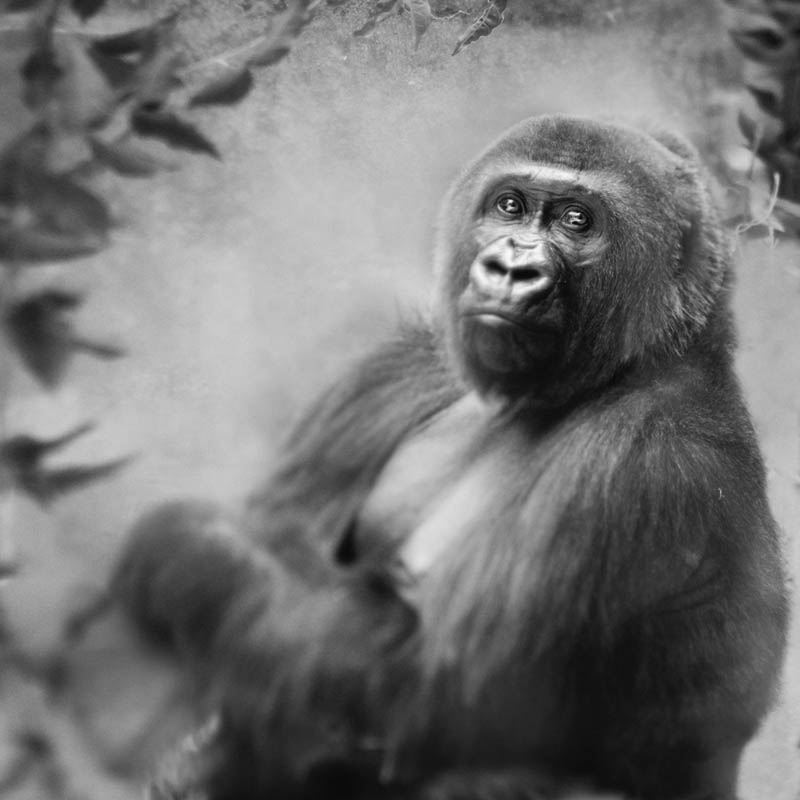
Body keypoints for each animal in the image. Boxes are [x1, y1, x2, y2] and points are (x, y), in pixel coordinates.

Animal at [113, 115, 789, 800]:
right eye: (510, 206)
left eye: (577, 220)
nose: (511, 268)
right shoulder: (408, 364)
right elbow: (281, 526)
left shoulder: (643, 458)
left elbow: (436, 698)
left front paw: (184, 548)